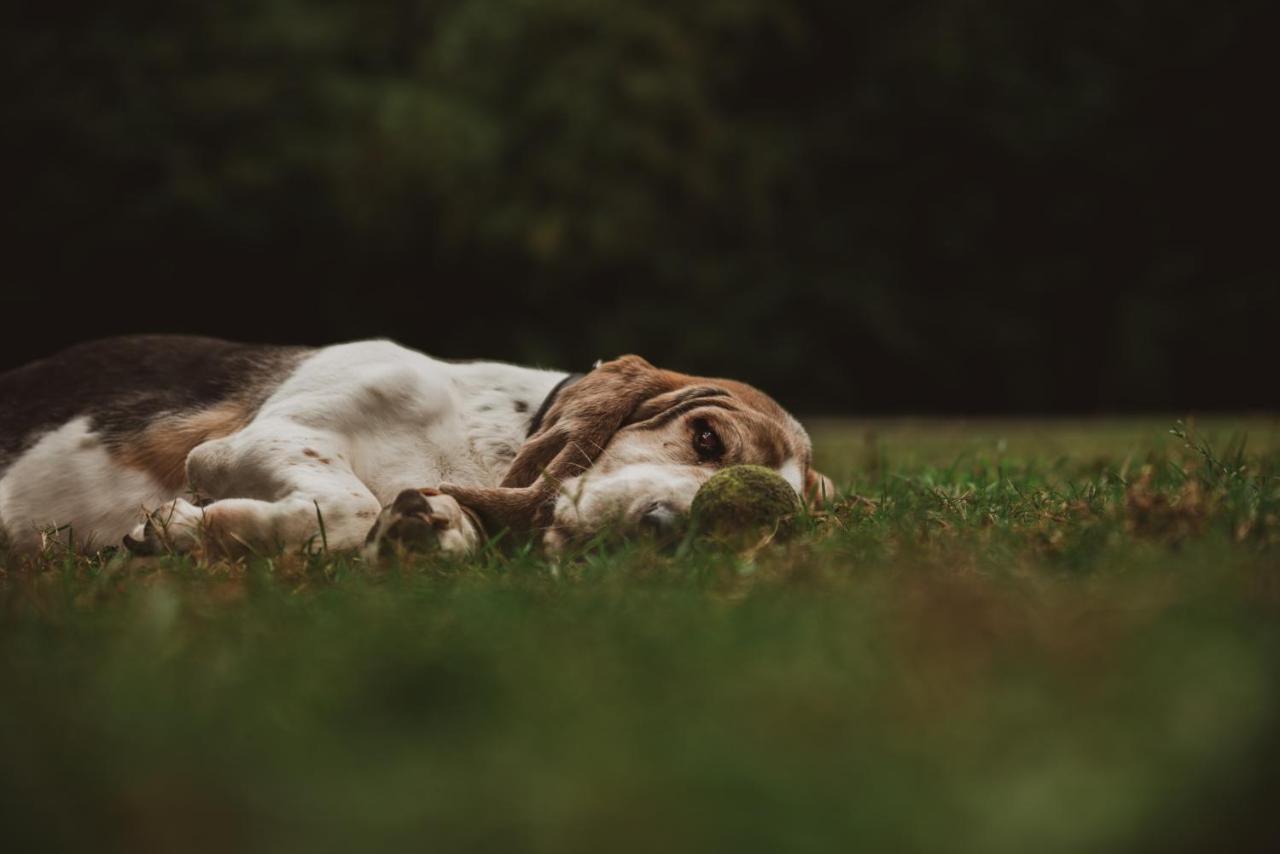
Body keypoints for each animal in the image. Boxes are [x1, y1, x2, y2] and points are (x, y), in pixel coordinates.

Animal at [0, 338, 834, 558]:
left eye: (747, 521)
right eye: (705, 437)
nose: (662, 530)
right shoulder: (260, 437)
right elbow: (344, 501)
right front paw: (188, 525)